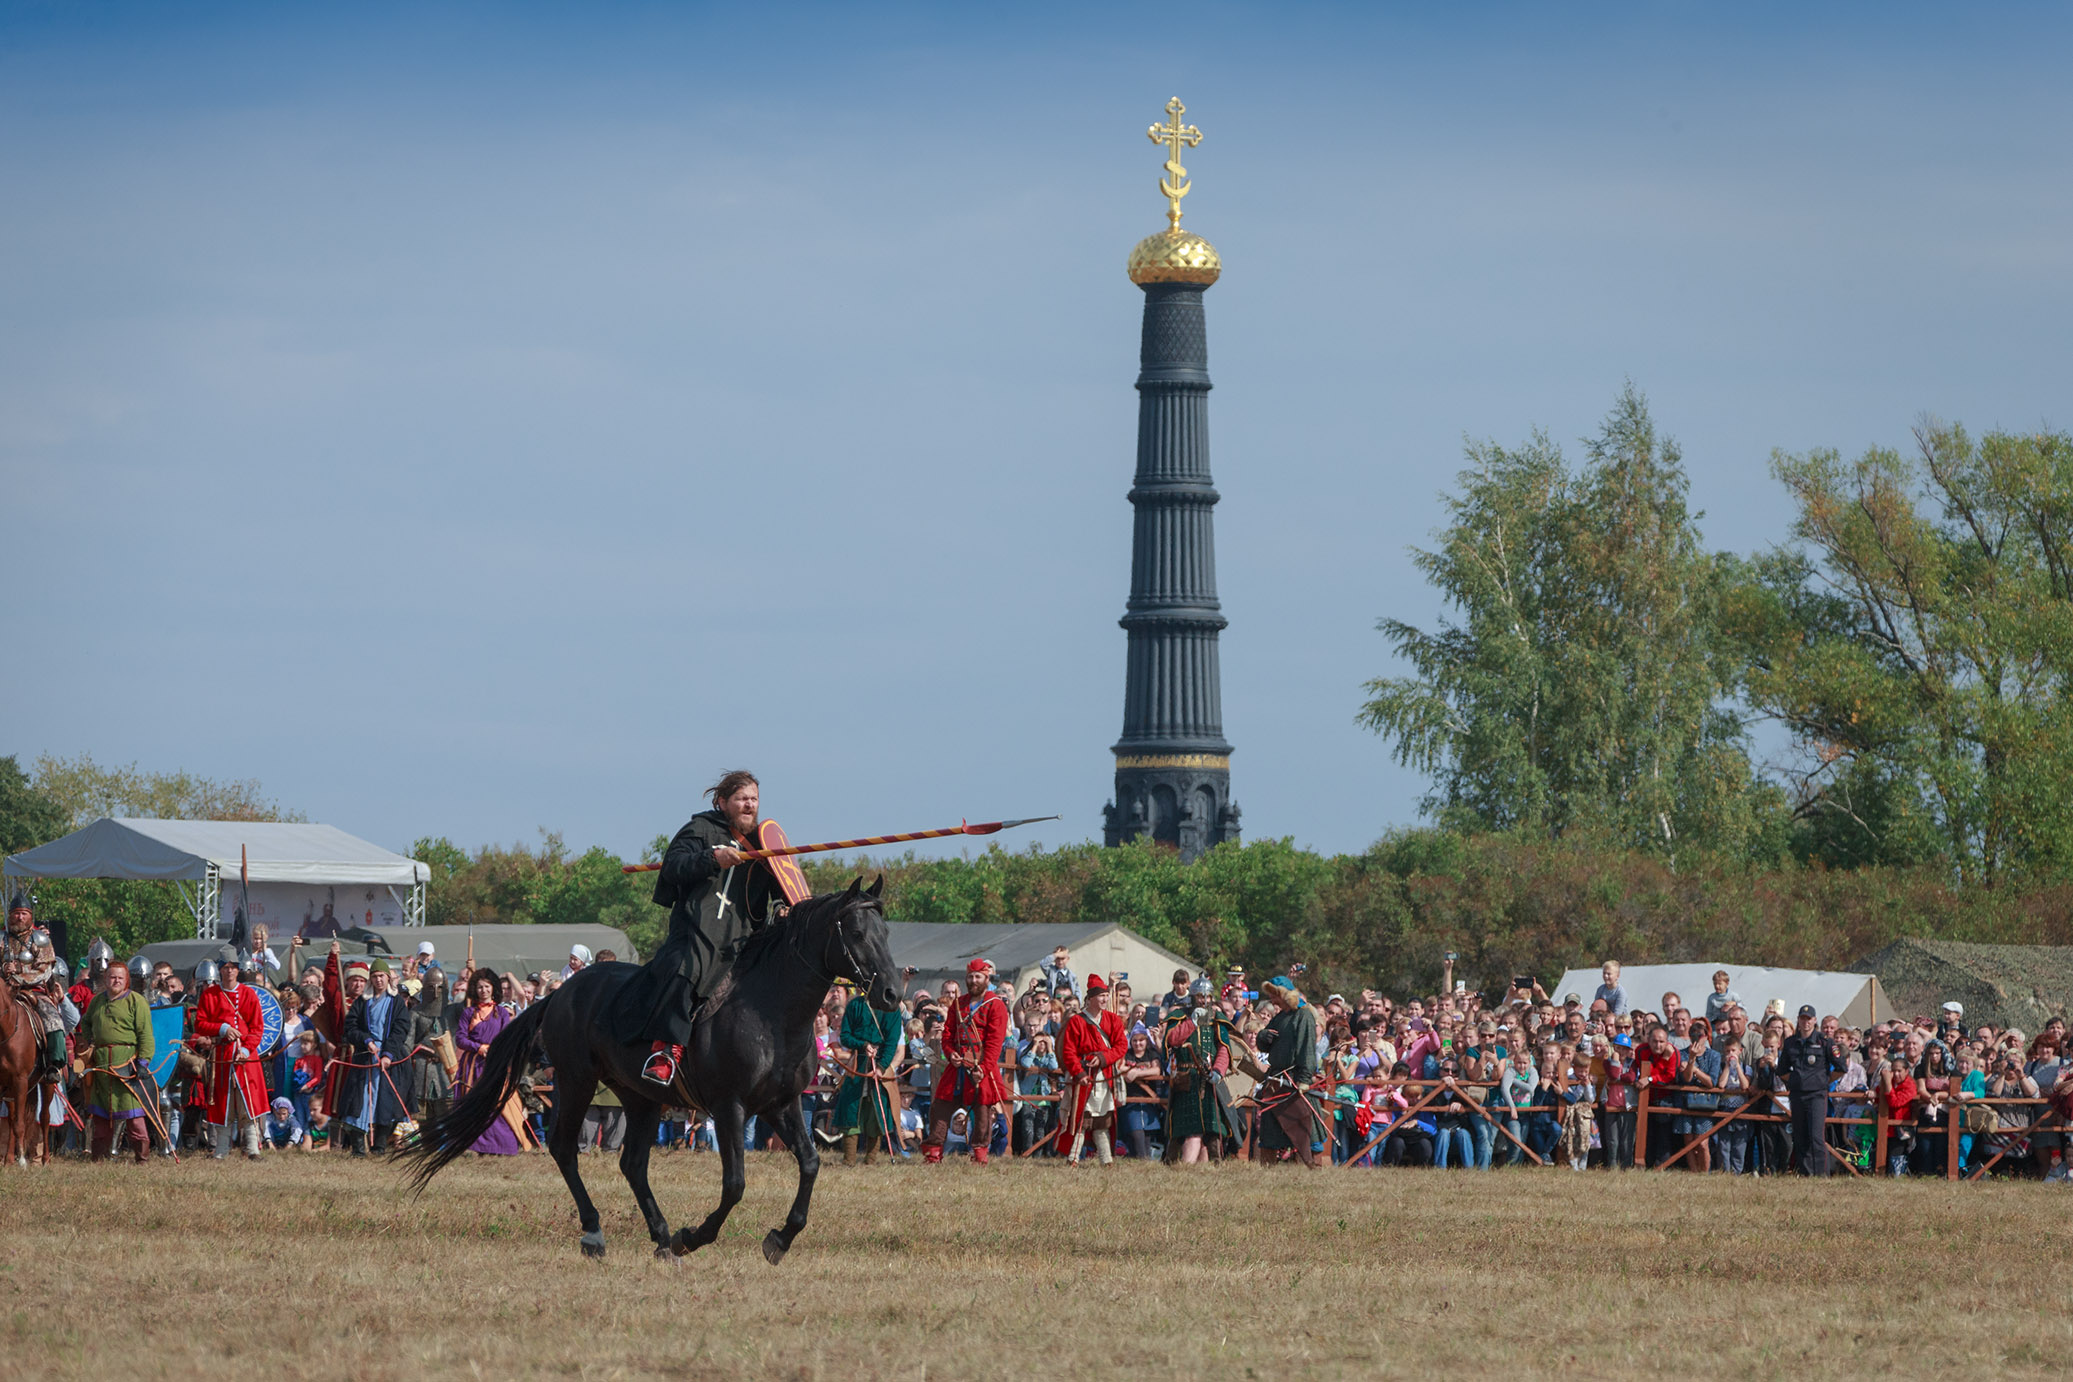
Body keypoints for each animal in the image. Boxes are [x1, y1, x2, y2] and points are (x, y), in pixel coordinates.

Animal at [395, 886, 899, 1268]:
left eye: (886, 931)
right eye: (856, 932)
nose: (893, 992)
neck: (770, 1011)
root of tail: (560, 994)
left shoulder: (782, 1105)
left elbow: (810, 1164)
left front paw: (779, 1238)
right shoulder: (730, 1107)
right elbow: (735, 1184)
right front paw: (693, 1236)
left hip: (639, 1098)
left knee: (632, 1164)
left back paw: (658, 1235)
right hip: (577, 1082)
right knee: (564, 1149)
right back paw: (597, 1232)